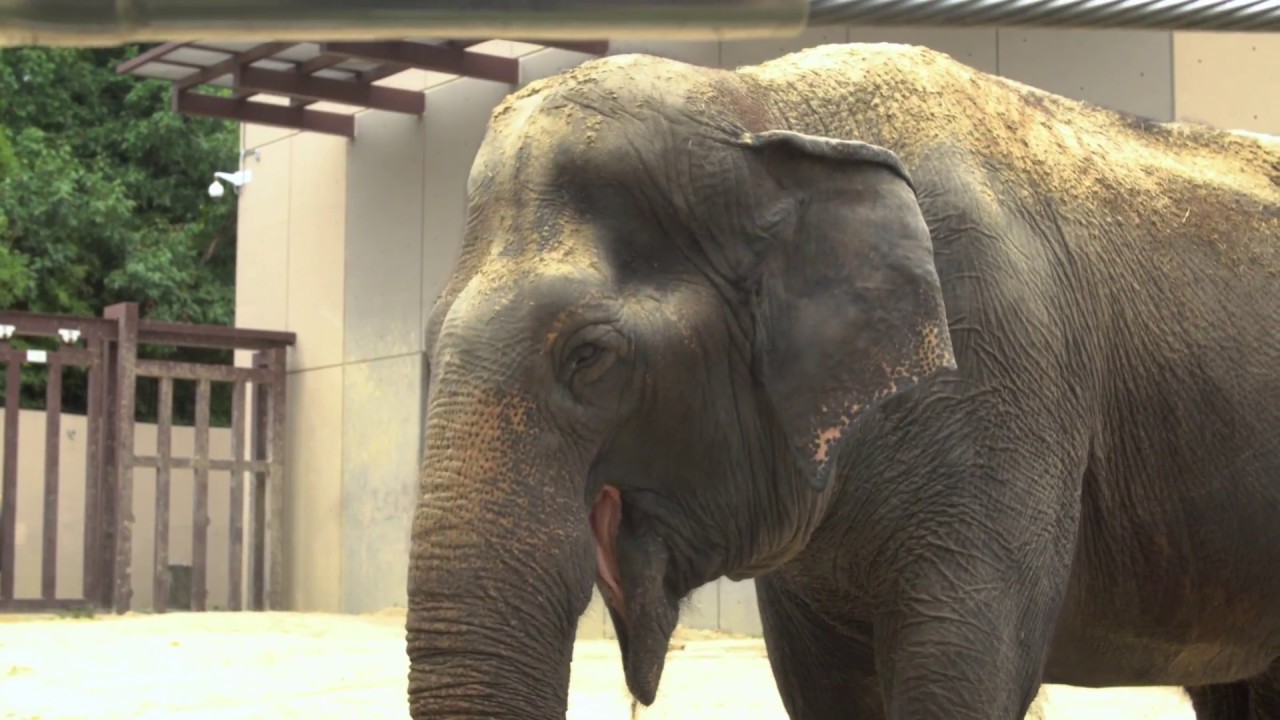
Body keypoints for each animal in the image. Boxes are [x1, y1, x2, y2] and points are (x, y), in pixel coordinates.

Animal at [406, 42, 1280, 720]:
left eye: (589, 355)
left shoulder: (1004, 384)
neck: (760, 108)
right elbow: (824, 687)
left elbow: (962, 673)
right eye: (427, 343)